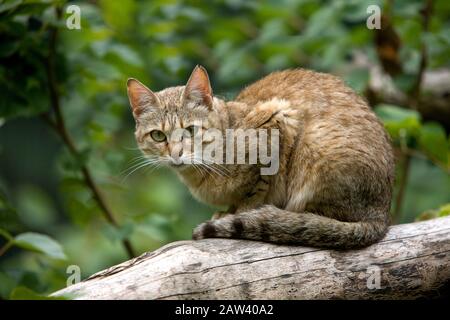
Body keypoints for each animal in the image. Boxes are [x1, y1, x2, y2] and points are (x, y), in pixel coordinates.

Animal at [126, 65, 394, 249]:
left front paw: (239, 213)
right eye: (158, 135)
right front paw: (227, 211)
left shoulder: (277, 120)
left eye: (191, 130)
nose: (176, 154)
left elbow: (256, 189)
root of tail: (381, 214)